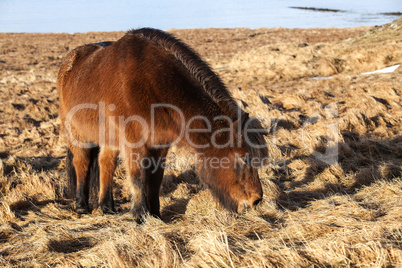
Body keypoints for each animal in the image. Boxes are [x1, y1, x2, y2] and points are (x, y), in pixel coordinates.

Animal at [57, 27, 266, 222]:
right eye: (244, 158)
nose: (256, 200)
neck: (153, 83)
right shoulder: (135, 143)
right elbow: (138, 177)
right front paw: (140, 216)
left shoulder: (160, 144)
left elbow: (156, 178)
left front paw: (155, 214)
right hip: (76, 134)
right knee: (82, 162)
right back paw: (82, 205)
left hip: (109, 138)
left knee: (105, 163)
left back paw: (107, 207)